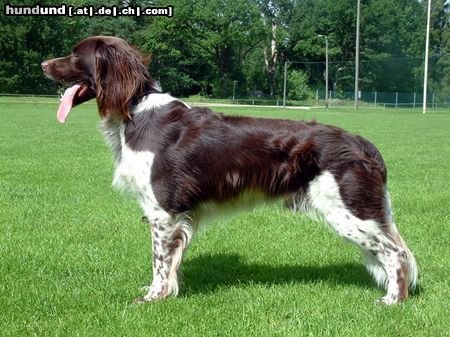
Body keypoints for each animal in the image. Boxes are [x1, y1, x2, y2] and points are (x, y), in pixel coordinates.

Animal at [42, 35, 418, 304]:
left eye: (75, 55)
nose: (44, 63)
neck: (135, 113)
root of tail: (363, 144)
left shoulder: (162, 211)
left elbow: (159, 261)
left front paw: (151, 298)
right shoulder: (176, 215)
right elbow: (172, 261)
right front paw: (167, 294)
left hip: (348, 212)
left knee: (397, 253)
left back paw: (392, 300)